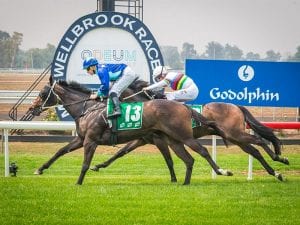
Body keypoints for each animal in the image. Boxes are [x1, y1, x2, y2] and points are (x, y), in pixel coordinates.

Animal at [31, 77, 232, 185]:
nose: (32, 108)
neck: (87, 109)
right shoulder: (82, 139)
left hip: (183, 136)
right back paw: (185, 182)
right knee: (189, 159)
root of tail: (184, 107)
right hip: (174, 139)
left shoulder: (91, 140)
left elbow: (86, 163)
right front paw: (40, 169)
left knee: (202, 151)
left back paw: (222, 171)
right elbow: (60, 151)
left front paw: (79, 182)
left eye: (42, 93)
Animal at [92, 79, 290, 181]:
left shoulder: (158, 140)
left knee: (260, 141)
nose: (101, 110)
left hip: (235, 134)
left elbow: (168, 159)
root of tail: (236, 106)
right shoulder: (142, 139)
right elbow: (120, 153)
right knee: (254, 151)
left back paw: (280, 157)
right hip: (235, 137)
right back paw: (276, 172)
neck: (149, 106)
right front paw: (98, 166)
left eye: (107, 93)